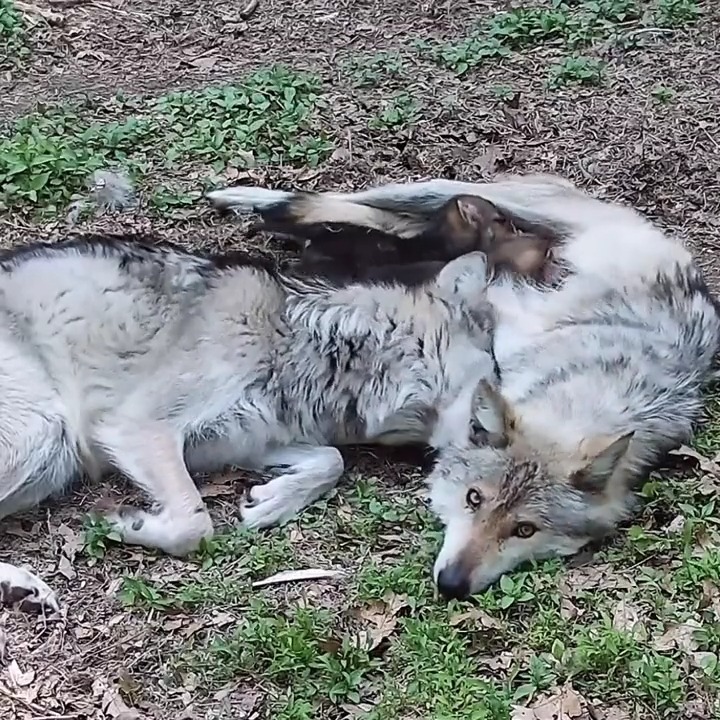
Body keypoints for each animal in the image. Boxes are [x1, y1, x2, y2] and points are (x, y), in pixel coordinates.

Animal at [0, 233, 502, 611]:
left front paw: (270, 503)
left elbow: (331, 460)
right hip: (45, 431)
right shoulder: (138, 427)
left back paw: (18, 586)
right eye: (496, 376)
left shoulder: (240, 440)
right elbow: (196, 523)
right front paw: (130, 524)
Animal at [207, 173, 720, 600]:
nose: (451, 585)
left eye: (525, 530)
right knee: (371, 201)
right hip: (495, 200)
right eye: (474, 499)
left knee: (387, 219)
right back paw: (248, 198)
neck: (582, 391)